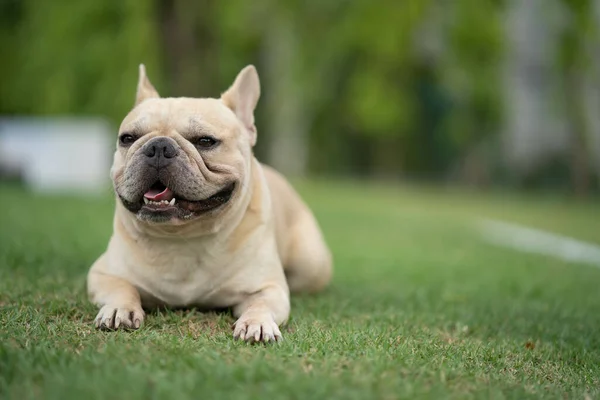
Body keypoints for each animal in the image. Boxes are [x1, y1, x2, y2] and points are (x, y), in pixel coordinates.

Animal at [88, 64, 332, 342]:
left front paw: (257, 323)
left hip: (310, 265)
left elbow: (261, 303)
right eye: (127, 138)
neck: (181, 238)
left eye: (205, 141)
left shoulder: (269, 288)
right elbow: (121, 287)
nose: (159, 146)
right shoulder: (102, 273)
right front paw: (119, 308)